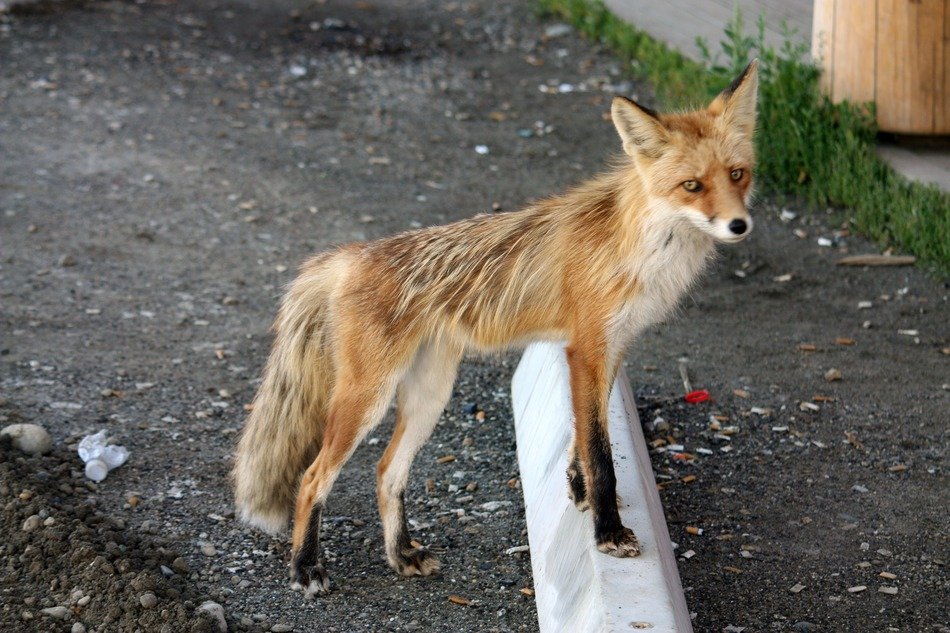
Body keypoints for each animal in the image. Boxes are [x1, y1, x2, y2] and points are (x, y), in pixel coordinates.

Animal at [233, 60, 759, 597]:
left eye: (737, 174)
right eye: (692, 186)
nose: (739, 226)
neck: (642, 245)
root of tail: (348, 256)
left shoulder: (612, 349)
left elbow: (586, 440)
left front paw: (577, 490)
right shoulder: (586, 348)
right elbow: (601, 455)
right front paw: (608, 531)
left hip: (430, 395)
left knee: (386, 472)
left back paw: (400, 555)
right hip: (367, 396)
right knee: (312, 477)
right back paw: (306, 566)